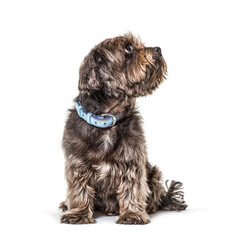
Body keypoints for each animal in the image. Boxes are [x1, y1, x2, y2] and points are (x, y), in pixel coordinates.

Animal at [59, 32, 187, 224]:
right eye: (128, 48)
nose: (158, 49)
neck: (106, 121)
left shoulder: (131, 161)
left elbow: (131, 188)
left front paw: (132, 214)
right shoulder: (77, 163)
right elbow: (80, 190)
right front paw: (78, 213)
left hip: (154, 173)